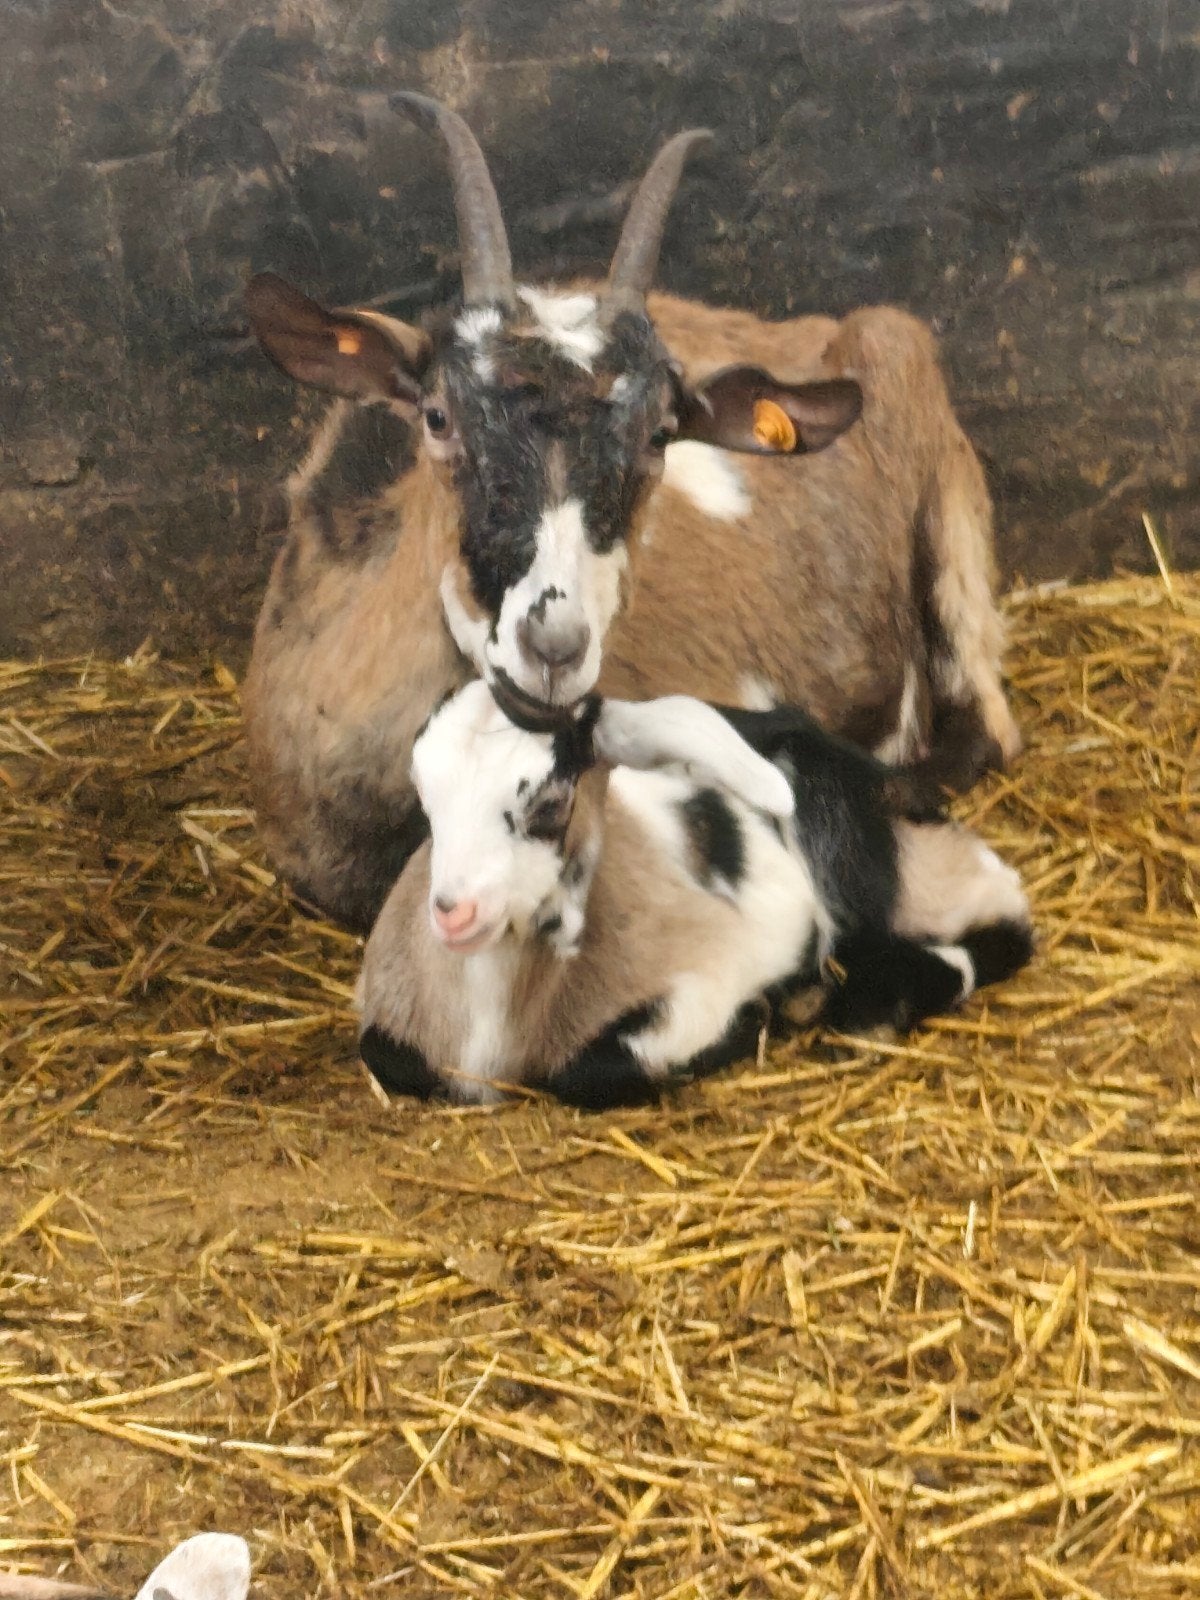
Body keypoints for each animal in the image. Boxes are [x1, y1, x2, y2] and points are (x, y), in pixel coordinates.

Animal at [356, 681, 1032, 1108]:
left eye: (549, 803)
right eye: (425, 798)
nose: (453, 913)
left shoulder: (703, 982)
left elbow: (593, 1071)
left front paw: (754, 1018)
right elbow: (383, 1055)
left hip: (869, 856)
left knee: (1005, 912)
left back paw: (868, 1001)